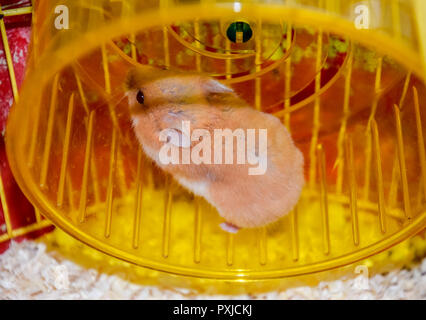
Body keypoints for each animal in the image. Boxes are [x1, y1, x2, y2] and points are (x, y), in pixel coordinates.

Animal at [125, 65, 304, 234]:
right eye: (164, 68)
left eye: (140, 97)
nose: (128, 74)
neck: (202, 118)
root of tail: (294, 200)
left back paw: (224, 227)